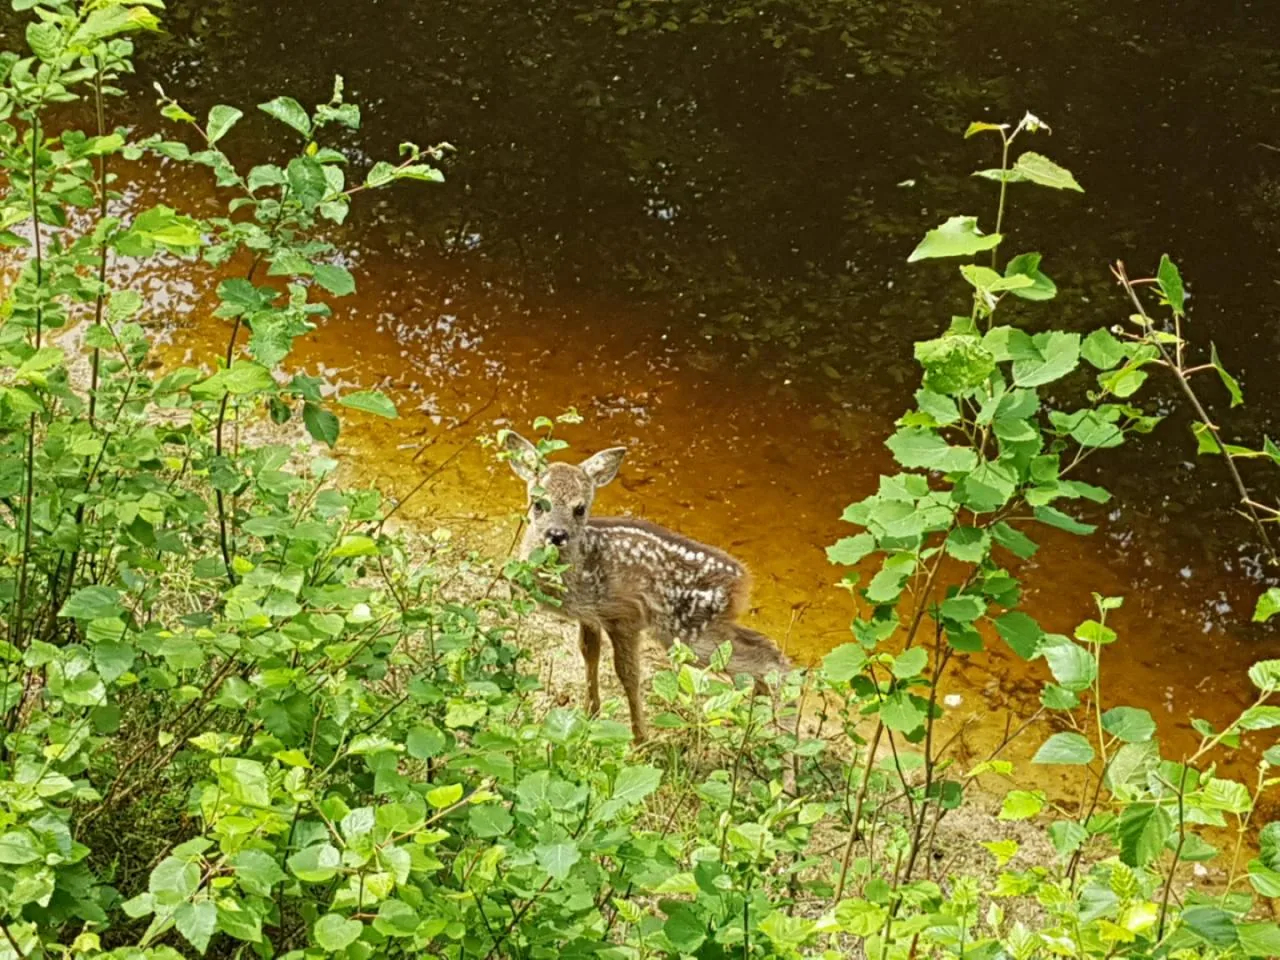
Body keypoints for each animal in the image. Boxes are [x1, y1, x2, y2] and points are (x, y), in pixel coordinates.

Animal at [502, 431, 790, 742]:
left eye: (579, 509)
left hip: (688, 631)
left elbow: (628, 673)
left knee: (768, 660)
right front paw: (589, 716)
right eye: (537, 502)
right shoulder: (590, 616)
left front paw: (640, 739)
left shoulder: (624, 615)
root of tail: (743, 579)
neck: (583, 569)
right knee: (762, 653)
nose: (556, 534)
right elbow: (589, 655)